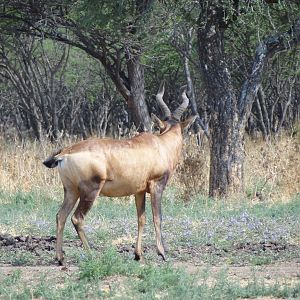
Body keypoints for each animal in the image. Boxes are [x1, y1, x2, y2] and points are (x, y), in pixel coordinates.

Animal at [43, 82, 196, 264]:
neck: (160, 145)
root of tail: (65, 153)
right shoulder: (156, 186)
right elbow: (157, 217)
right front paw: (162, 252)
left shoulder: (139, 191)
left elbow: (141, 219)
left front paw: (138, 254)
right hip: (90, 191)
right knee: (77, 218)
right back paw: (92, 255)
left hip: (71, 191)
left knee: (60, 216)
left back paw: (60, 258)